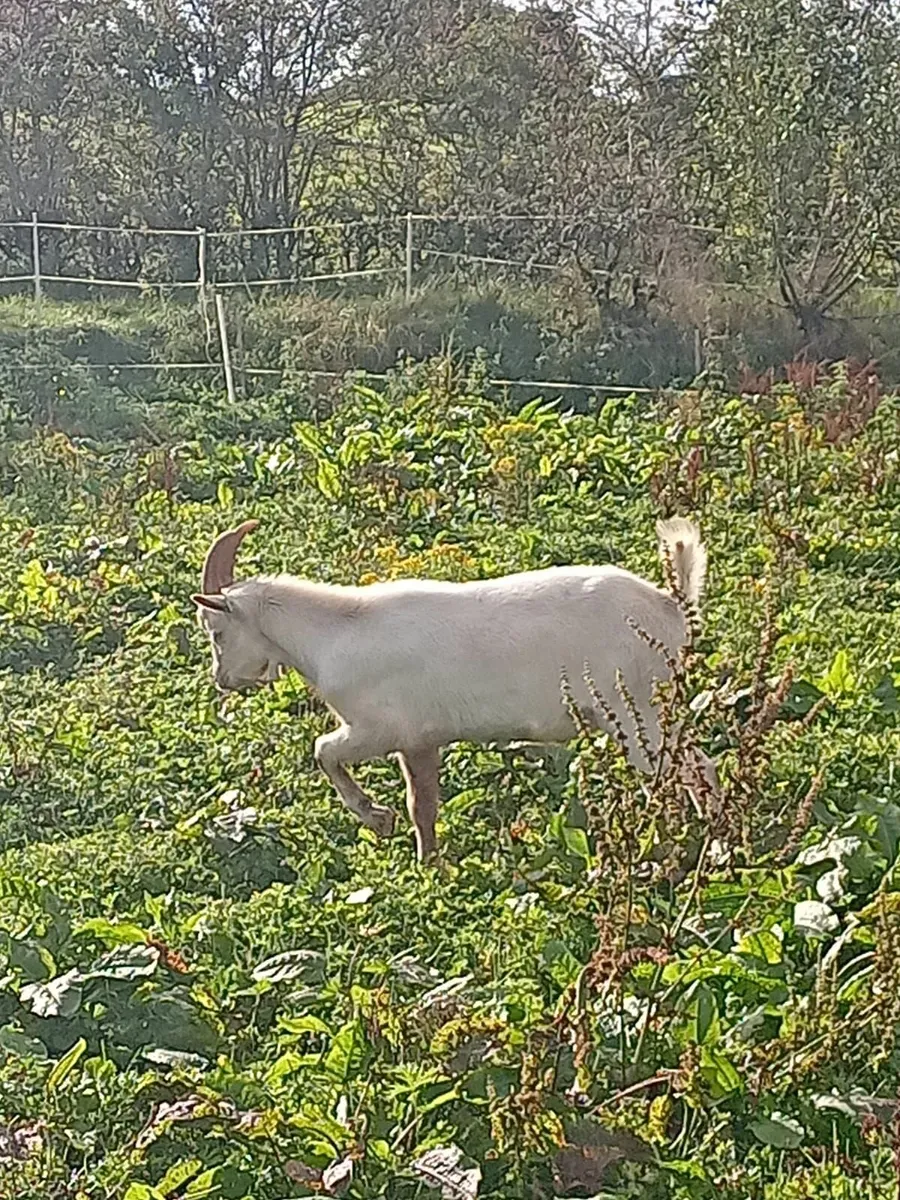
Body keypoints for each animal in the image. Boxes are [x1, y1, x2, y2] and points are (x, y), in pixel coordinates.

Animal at [192, 518, 716, 862]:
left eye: (215, 632)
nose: (222, 680)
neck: (335, 632)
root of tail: (670, 607)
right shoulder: (421, 741)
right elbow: (422, 806)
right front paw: (429, 864)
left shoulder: (379, 729)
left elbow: (323, 751)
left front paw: (378, 819)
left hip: (635, 711)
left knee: (684, 772)